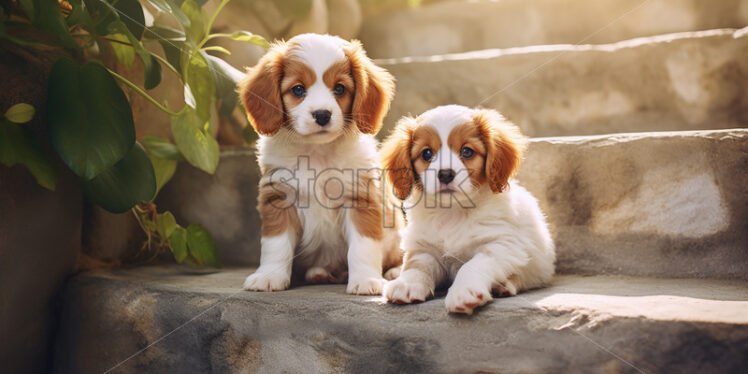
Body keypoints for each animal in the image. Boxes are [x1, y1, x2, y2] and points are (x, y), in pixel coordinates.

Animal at [240, 33, 404, 294]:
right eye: (298, 89)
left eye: (340, 88)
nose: (322, 114)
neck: (317, 152)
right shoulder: (278, 198)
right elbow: (275, 245)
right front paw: (269, 276)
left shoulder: (360, 199)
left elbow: (363, 246)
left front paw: (366, 279)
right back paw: (319, 273)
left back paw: (394, 271)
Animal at [382, 104, 552, 312]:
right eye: (427, 154)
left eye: (467, 151)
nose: (445, 174)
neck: (452, 212)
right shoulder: (425, 249)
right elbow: (416, 266)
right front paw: (406, 284)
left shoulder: (501, 245)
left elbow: (472, 265)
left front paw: (464, 292)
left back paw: (504, 285)